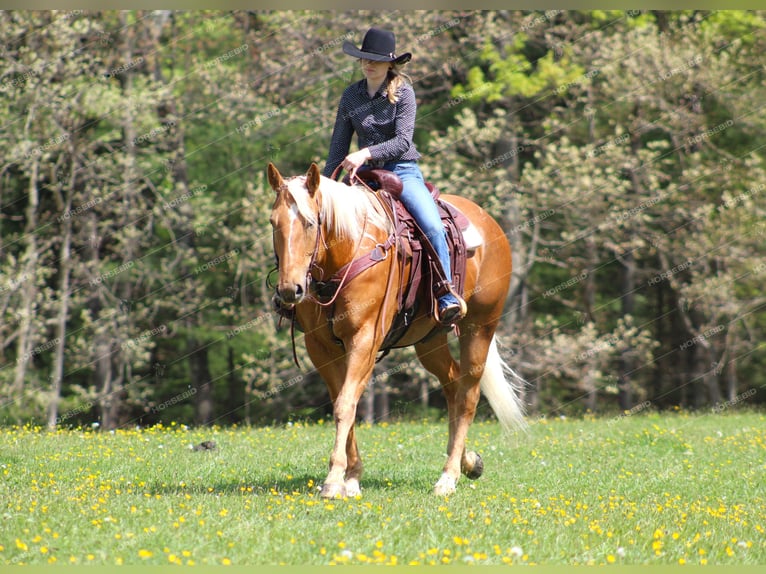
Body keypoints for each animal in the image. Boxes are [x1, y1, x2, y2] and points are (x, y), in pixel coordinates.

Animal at [268, 163, 524, 500]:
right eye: (274, 223)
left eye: (310, 223)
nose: (289, 290)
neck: (348, 253)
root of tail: (489, 222)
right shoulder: (320, 347)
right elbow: (342, 402)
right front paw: (352, 477)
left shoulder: (365, 339)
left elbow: (345, 404)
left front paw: (334, 479)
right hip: (430, 339)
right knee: (453, 383)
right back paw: (468, 461)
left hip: (480, 328)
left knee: (468, 393)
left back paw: (449, 477)